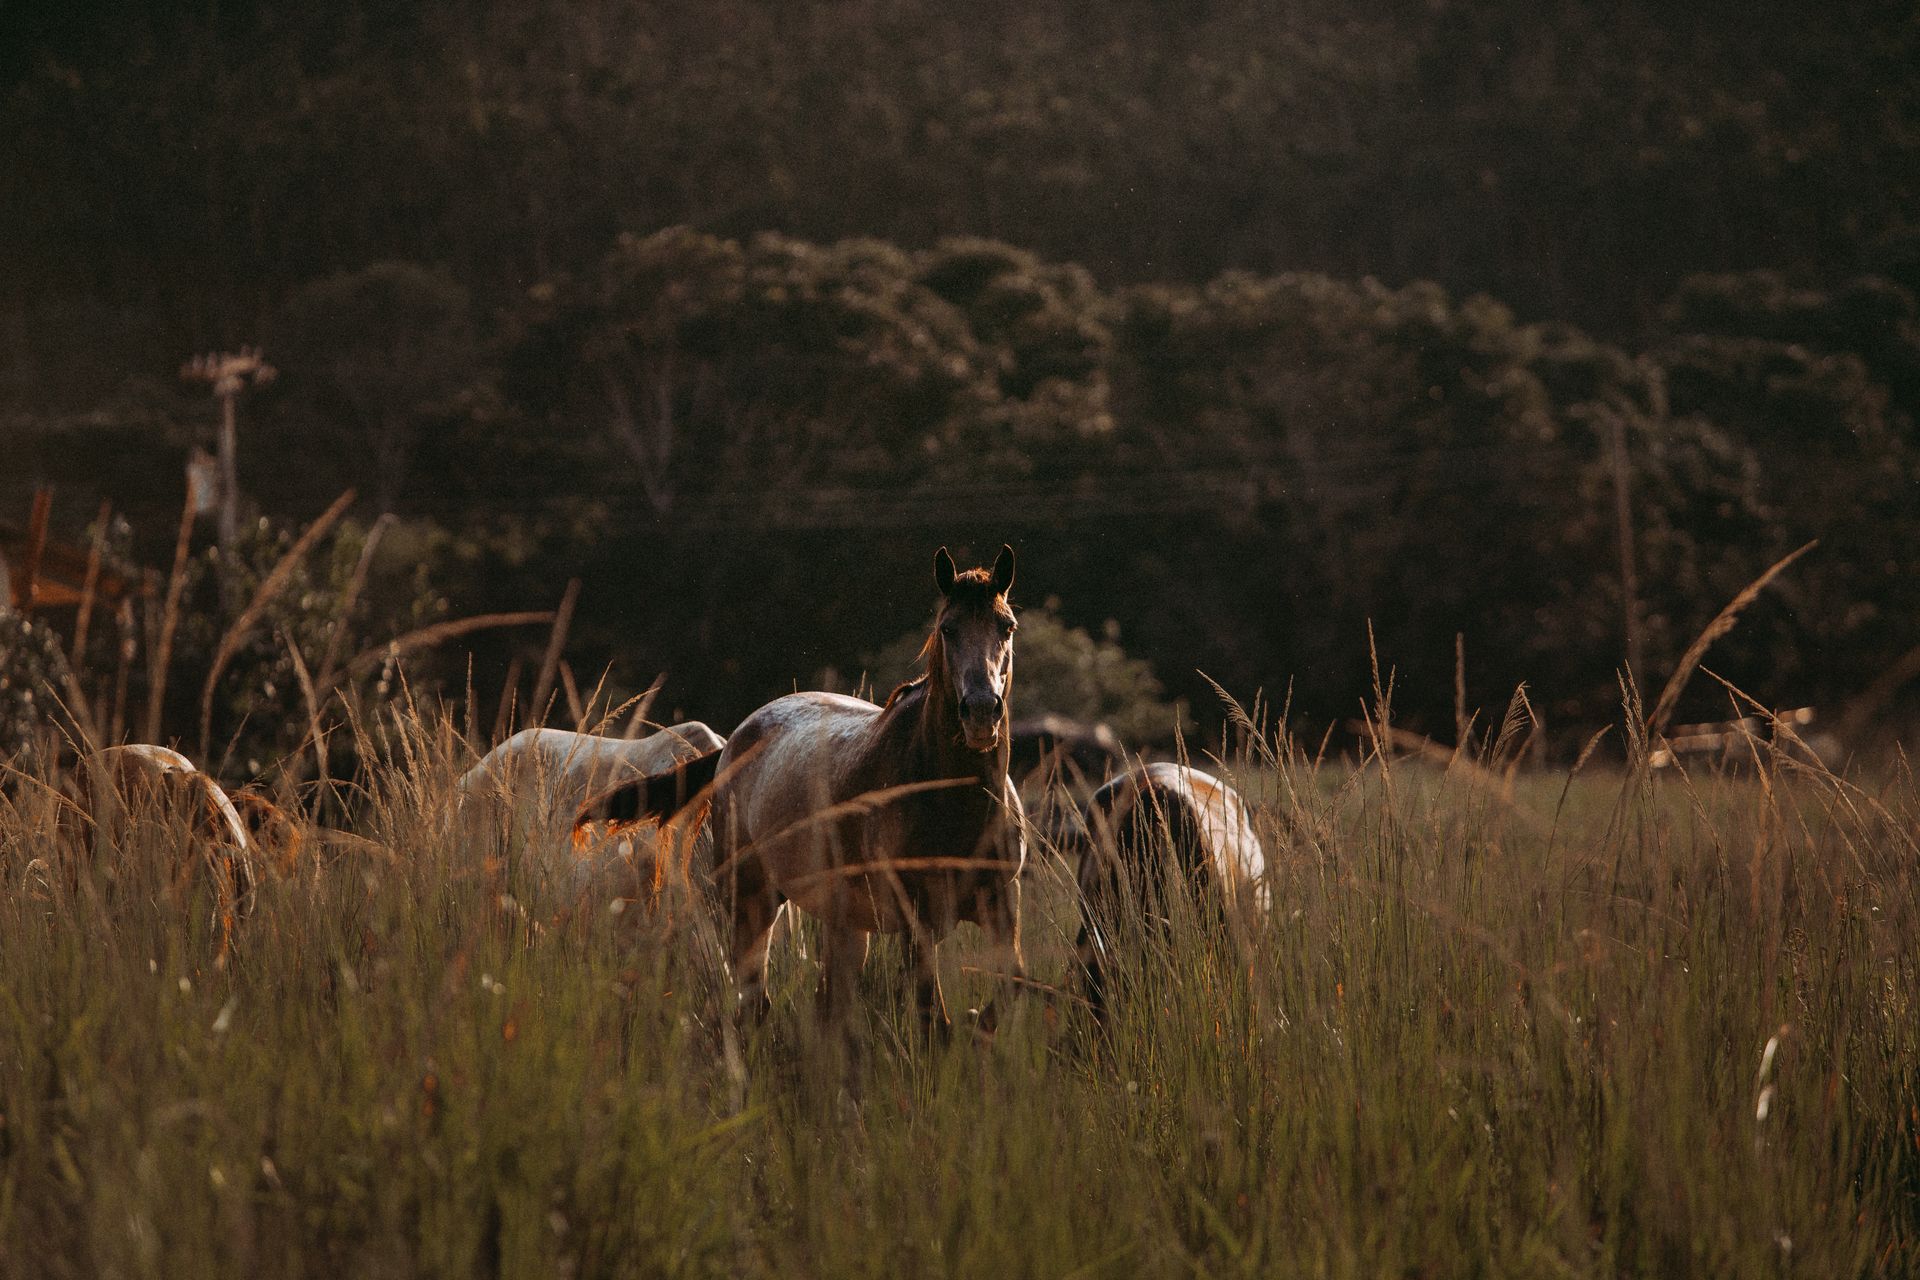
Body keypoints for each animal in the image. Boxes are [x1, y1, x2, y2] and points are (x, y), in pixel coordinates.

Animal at [587, 545, 1027, 1034]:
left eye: (1006, 626)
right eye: (948, 629)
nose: (982, 712)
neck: (950, 799)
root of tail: (731, 742)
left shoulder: (1002, 905)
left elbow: (1008, 991)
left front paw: (977, 1023)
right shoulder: (917, 919)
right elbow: (935, 1019)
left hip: (844, 923)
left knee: (826, 1007)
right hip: (752, 902)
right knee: (754, 1002)